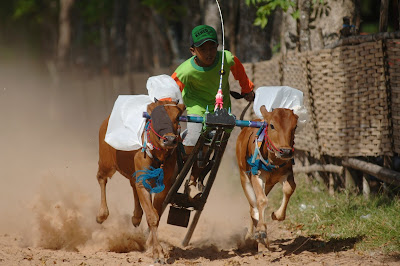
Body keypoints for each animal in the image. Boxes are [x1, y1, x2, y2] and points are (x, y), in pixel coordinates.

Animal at [96, 99, 185, 262]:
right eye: (156, 117)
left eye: (177, 117)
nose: (170, 139)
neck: (158, 155)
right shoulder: (143, 181)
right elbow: (152, 216)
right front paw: (158, 252)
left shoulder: (164, 185)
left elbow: (156, 214)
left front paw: (152, 245)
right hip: (106, 162)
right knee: (101, 178)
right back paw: (101, 214)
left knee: (132, 184)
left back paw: (136, 216)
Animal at [236, 105, 298, 249]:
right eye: (272, 125)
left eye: (295, 126)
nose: (286, 151)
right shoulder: (256, 175)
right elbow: (261, 201)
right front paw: (261, 230)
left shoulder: (286, 173)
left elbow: (289, 189)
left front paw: (276, 215)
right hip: (244, 177)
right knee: (253, 207)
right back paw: (252, 236)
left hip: (269, 185)